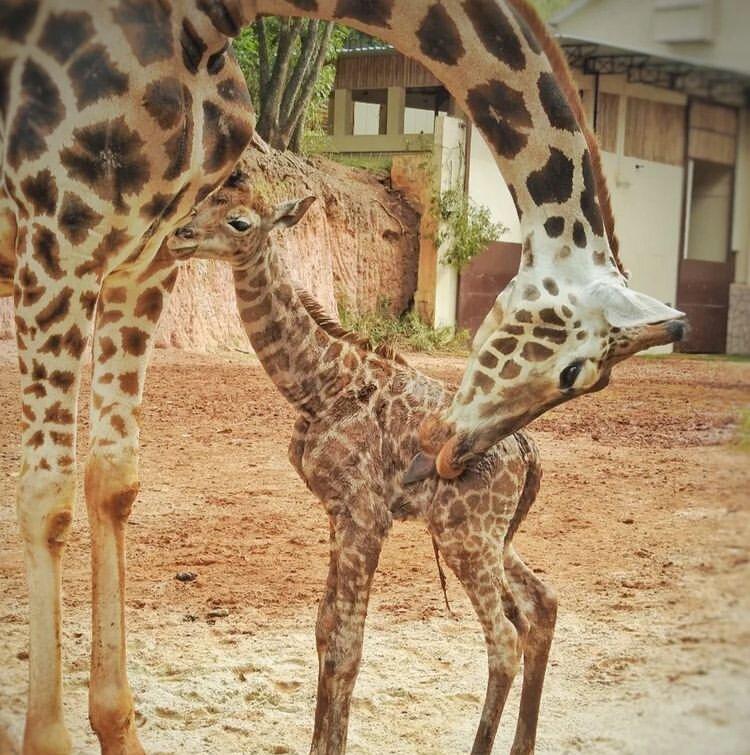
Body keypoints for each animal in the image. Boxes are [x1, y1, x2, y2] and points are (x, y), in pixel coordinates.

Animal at [172, 173, 560, 755]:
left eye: (239, 221)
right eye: (199, 203)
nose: (179, 235)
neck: (317, 385)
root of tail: (525, 448)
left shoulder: (365, 514)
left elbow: (347, 646)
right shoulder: (336, 511)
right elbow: (324, 630)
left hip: (466, 537)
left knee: (505, 640)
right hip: (490, 534)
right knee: (542, 605)